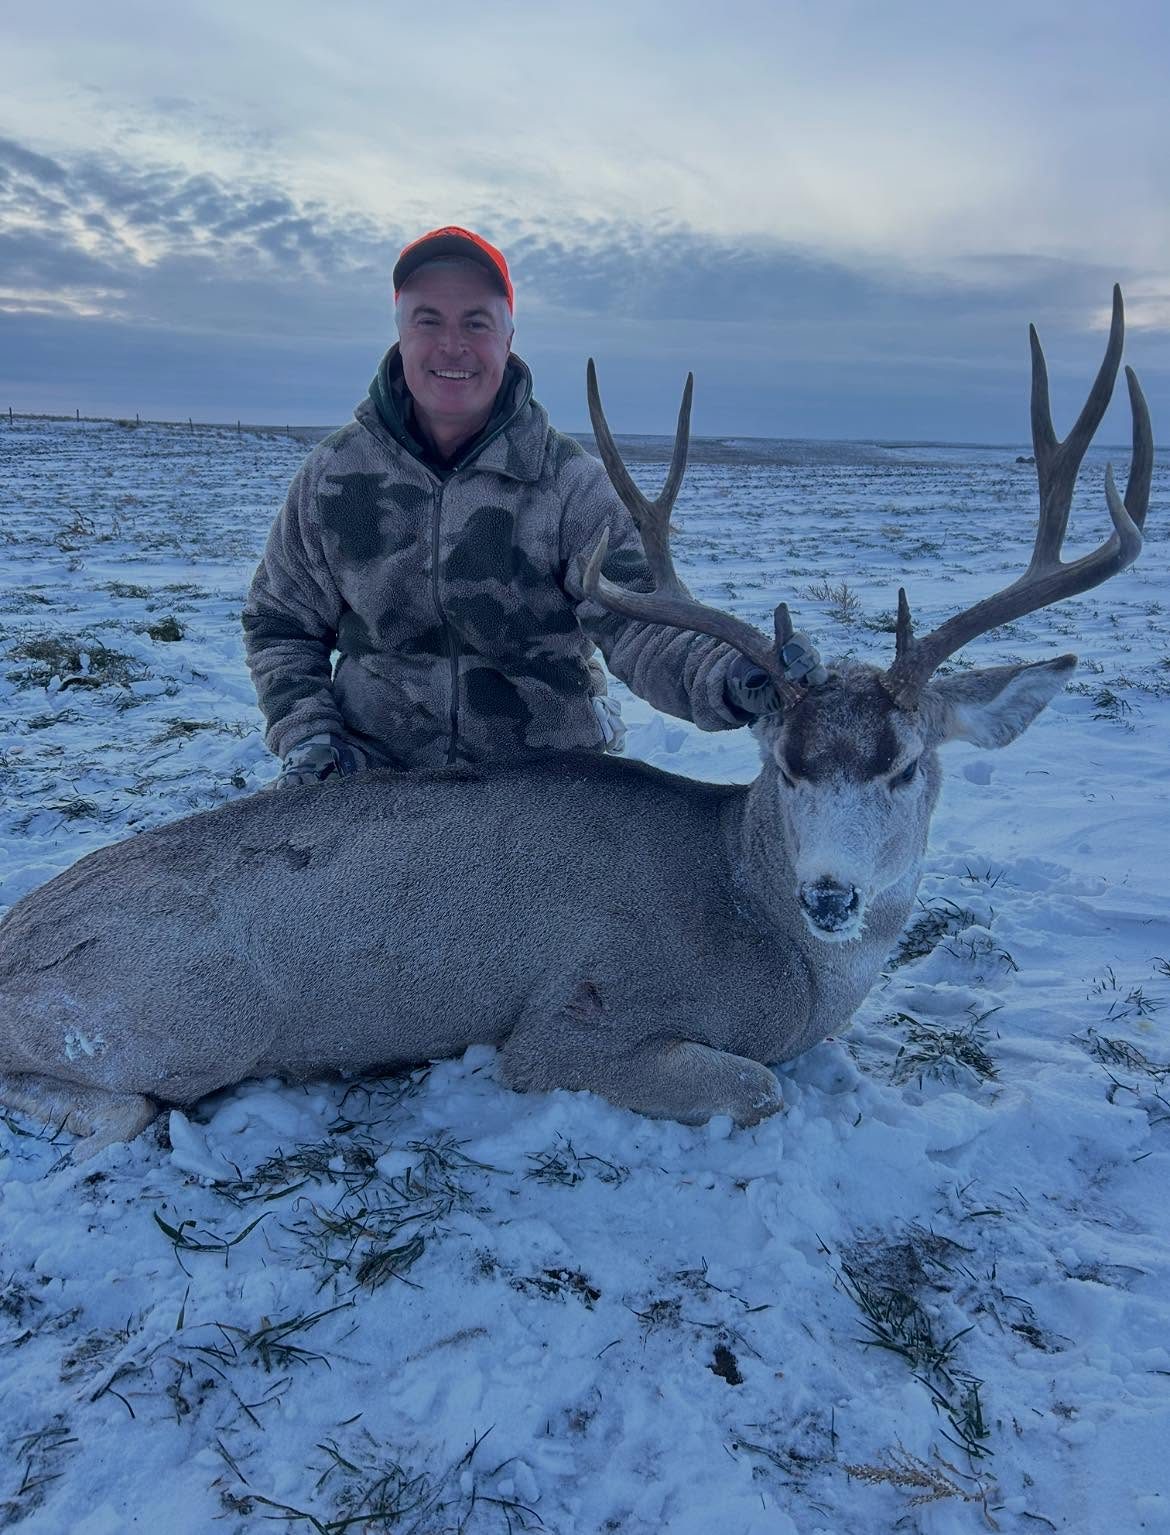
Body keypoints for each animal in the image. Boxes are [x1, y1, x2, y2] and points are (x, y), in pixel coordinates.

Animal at [0, 288, 1153, 1161]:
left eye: (907, 763)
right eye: (784, 765)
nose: (831, 894)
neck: (758, 928)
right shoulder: (567, 1025)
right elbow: (759, 1085)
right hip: (191, 1012)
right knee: (112, 1097)